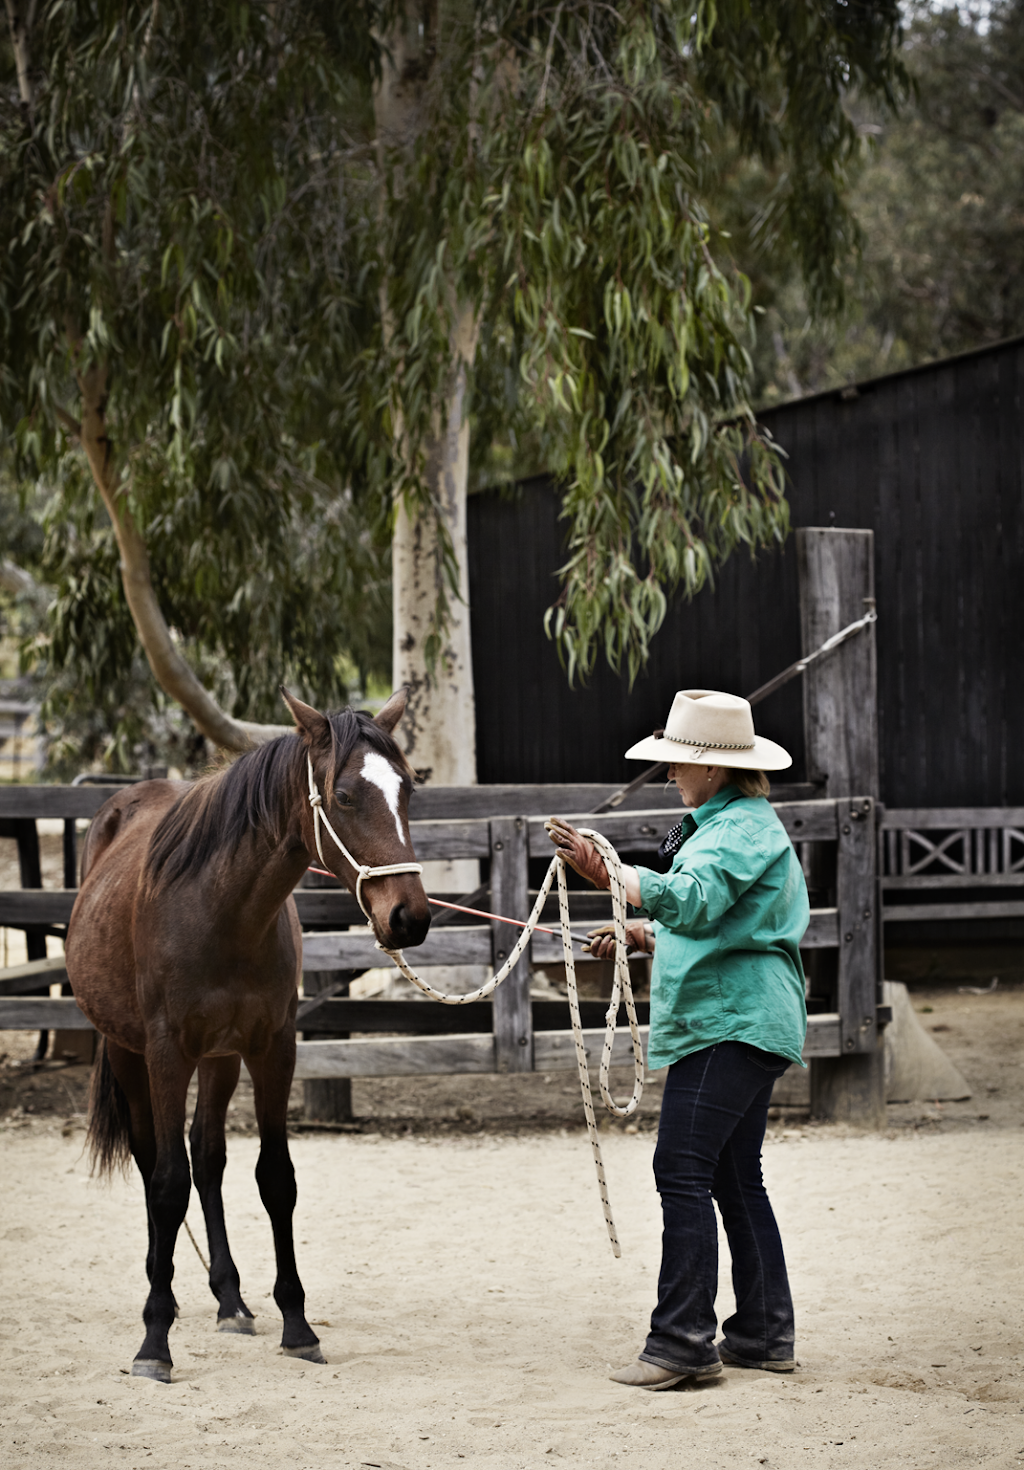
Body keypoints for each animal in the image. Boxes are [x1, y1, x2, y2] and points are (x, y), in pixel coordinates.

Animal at [65, 687, 426, 1375]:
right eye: (345, 797)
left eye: (408, 792)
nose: (410, 917)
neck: (220, 910)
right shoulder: (165, 1052)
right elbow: (167, 1183)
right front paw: (154, 1341)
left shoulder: (271, 1051)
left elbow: (274, 1179)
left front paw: (298, 1324)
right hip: (129, 1052)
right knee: (155, 1162)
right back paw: (162, 1287)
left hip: (220, 1059)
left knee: (208, 1158)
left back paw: (229, 1298)